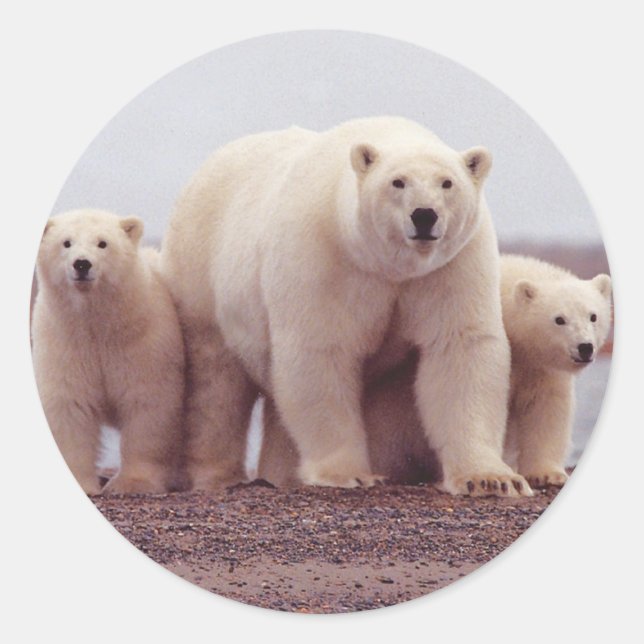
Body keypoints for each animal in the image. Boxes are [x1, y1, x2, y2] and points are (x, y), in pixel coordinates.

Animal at [31, 209, 185, 495]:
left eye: (103, 243)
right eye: (66, 242)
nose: (82, 264)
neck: (99, 325)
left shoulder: (142, 342)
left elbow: (147, 404)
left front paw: (133, 483)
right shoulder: (65, 343)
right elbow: (70, 406)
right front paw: (83, 483)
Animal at [161, 116, 530, 496]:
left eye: (447, 182)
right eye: (398, 182)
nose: (424, 215)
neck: (387, 265)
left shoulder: (451, 265)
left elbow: (460, 347)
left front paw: (491, 479)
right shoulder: (325, 256)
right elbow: (321, 351)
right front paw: (349, 473)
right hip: (202, 274)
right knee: (216, 384)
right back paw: (218, 475)